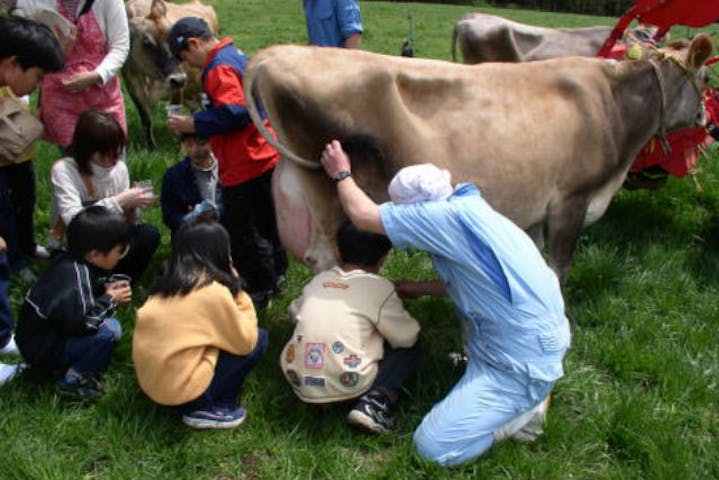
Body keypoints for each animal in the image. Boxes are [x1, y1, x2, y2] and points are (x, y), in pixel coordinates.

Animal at [122, 0, 218, 146]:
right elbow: (146, 119)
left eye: (174, 42)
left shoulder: (179, 88)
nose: (178, 79)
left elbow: (175, 115)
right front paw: (151, 146)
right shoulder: (132, 84)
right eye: (147, 43)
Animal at [246, 35, 716, 284]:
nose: (708, 122)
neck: (613, 104)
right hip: (326, 198)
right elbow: (559, 268)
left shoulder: (535, 210)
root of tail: (277, 52)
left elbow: (535, 260)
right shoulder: (572, 199)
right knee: (323, 260)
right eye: (707, 75)